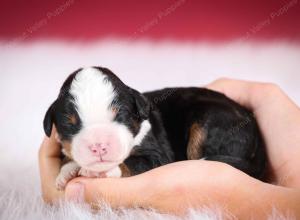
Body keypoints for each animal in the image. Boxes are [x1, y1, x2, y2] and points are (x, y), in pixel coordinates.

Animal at [42, 66, 264, 190]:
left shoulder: (156, 155)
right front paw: (67, 171)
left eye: (120, 116)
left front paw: (103, 172)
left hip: (209, 122)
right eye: (70, 124)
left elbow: (131, 163)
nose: (98, 146)